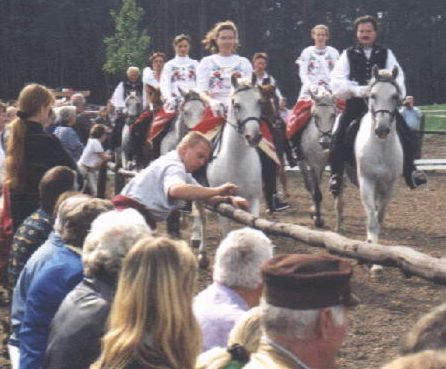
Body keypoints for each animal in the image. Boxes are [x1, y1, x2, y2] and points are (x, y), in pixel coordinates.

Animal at [336, 66, 402, 243]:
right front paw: (371, 240)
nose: (382, 130)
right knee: (339, 197)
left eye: (394, 96)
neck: (380, 148)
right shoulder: (367, 181)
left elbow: (380, 212)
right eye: (373, 95)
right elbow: (372, 215)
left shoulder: (389, 184)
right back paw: (338, 225)